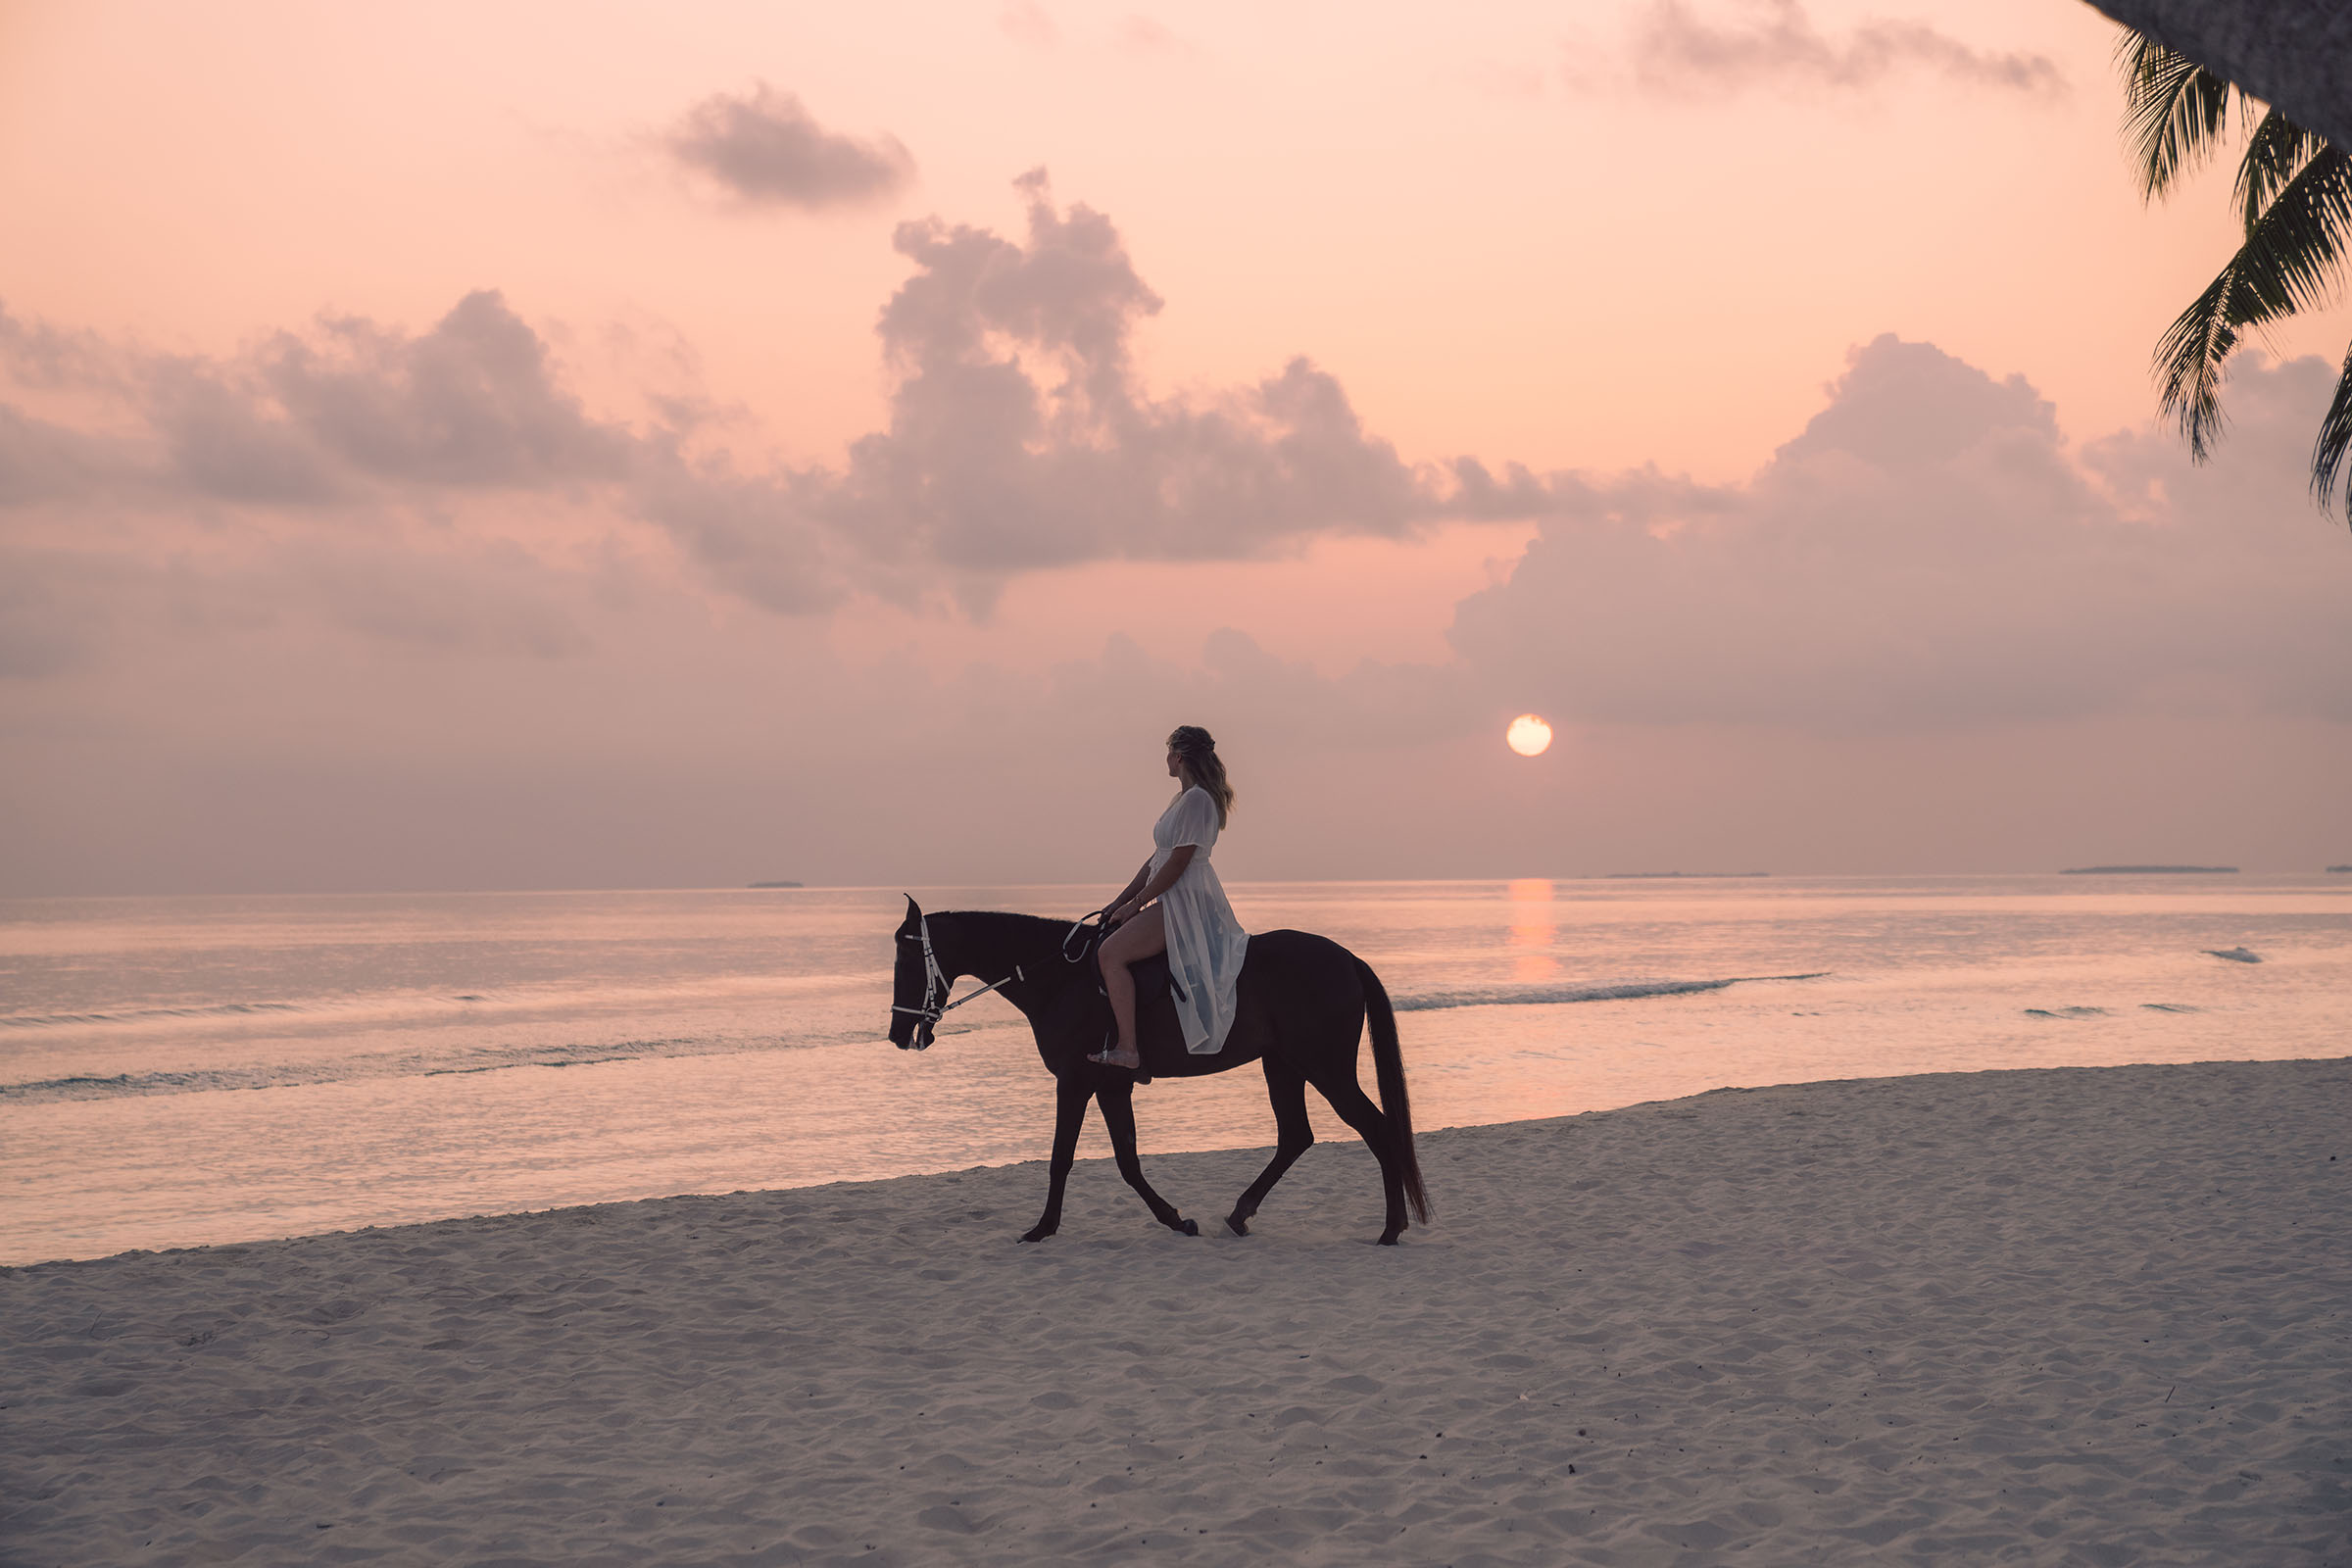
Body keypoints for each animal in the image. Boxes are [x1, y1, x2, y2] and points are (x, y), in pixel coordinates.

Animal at [886, 896, 1431, 1245]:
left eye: (908, 959)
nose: (897, 1032)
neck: (1059, 978)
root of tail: (1346, 958)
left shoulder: (1075, 1082)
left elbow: (1063, 1158)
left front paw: (1042, 1229)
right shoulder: (1110, 1086)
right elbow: (1127, 1160)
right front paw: (1176, 1220)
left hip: (1325, 1066)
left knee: (1376, 1129)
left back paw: (1390, 1230)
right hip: (1283, 1064)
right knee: (1296, 1135)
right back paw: (1240, 1214)